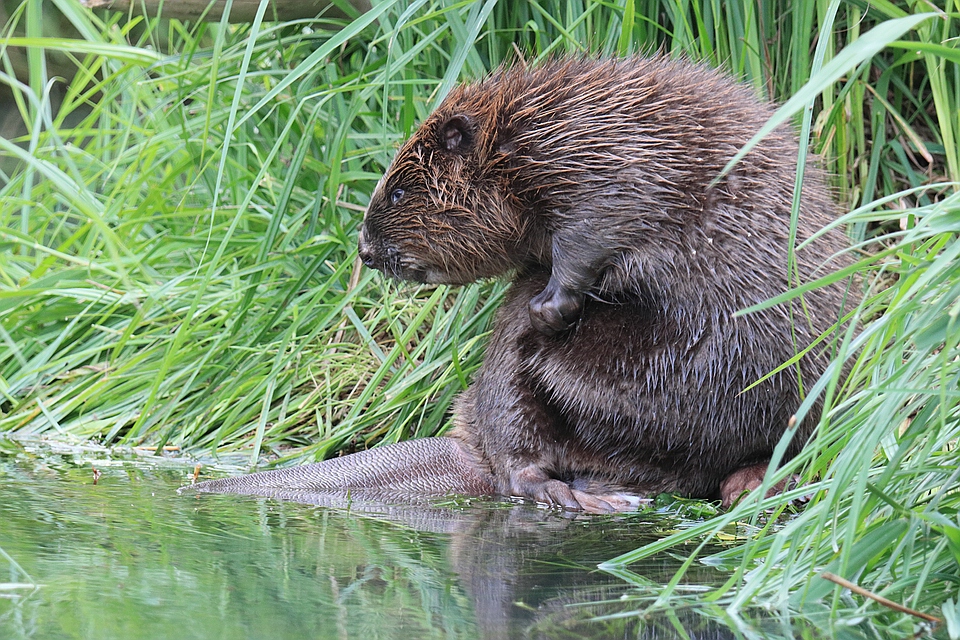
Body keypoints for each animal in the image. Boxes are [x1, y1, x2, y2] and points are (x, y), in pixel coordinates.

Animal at [191, 57, 852, 512]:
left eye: (399, 192)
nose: (365, 250)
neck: (526, 137)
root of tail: (464, 452)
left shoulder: (610, 165)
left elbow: (591, 235)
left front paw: (549, 309)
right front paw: (546, 314)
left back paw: (748, 484)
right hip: (509, 407)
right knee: (518, 456)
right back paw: (593, 497)